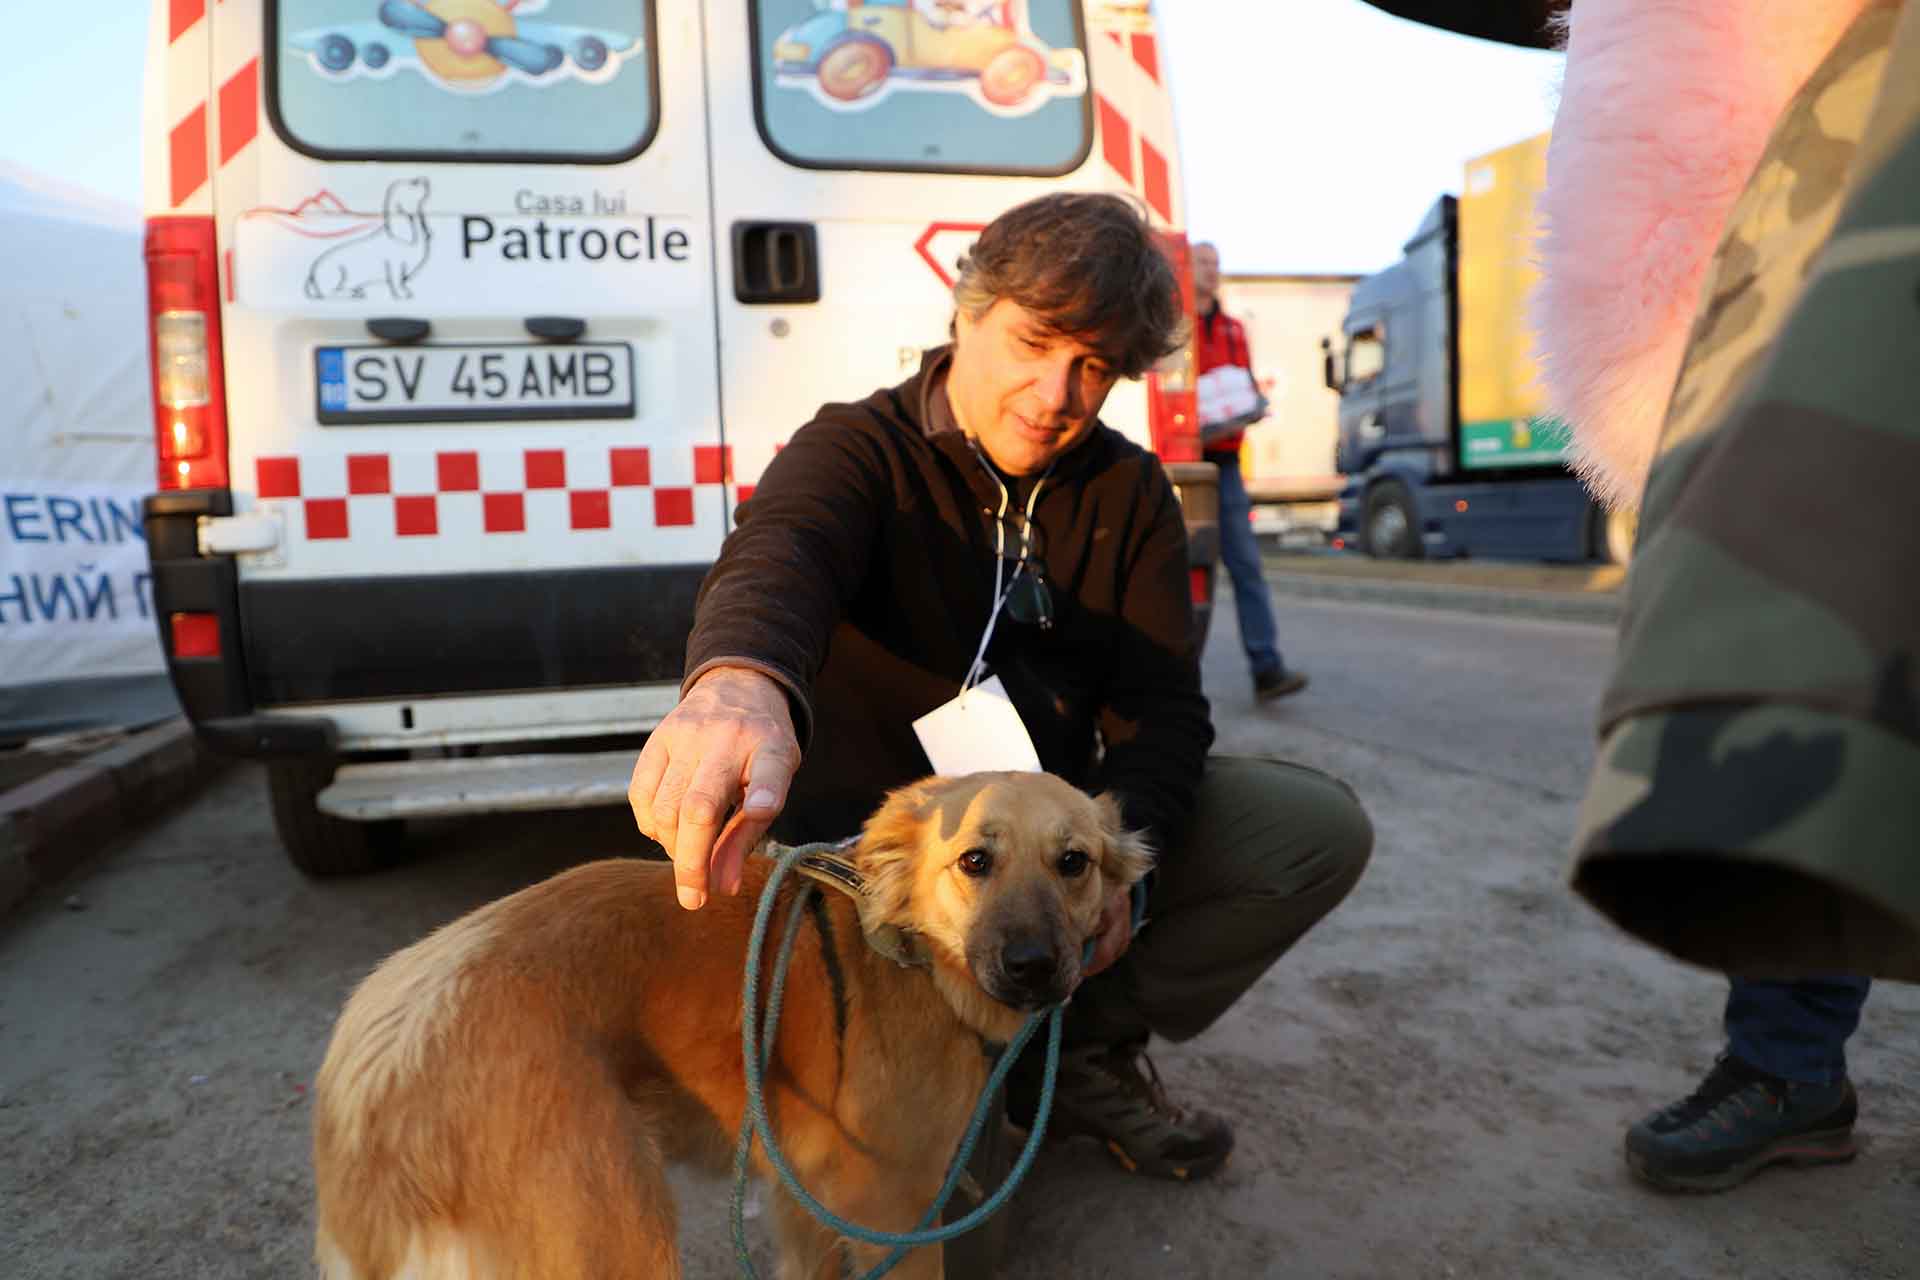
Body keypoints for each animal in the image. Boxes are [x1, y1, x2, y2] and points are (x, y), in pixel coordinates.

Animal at [307, 771, 1144, 1280]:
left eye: (1074, 863)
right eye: (974, 861)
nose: (1036, 967)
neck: (908, 955)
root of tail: (371, 1083)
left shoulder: (803, 1200)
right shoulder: (896, 1213)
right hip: (620, 1235)